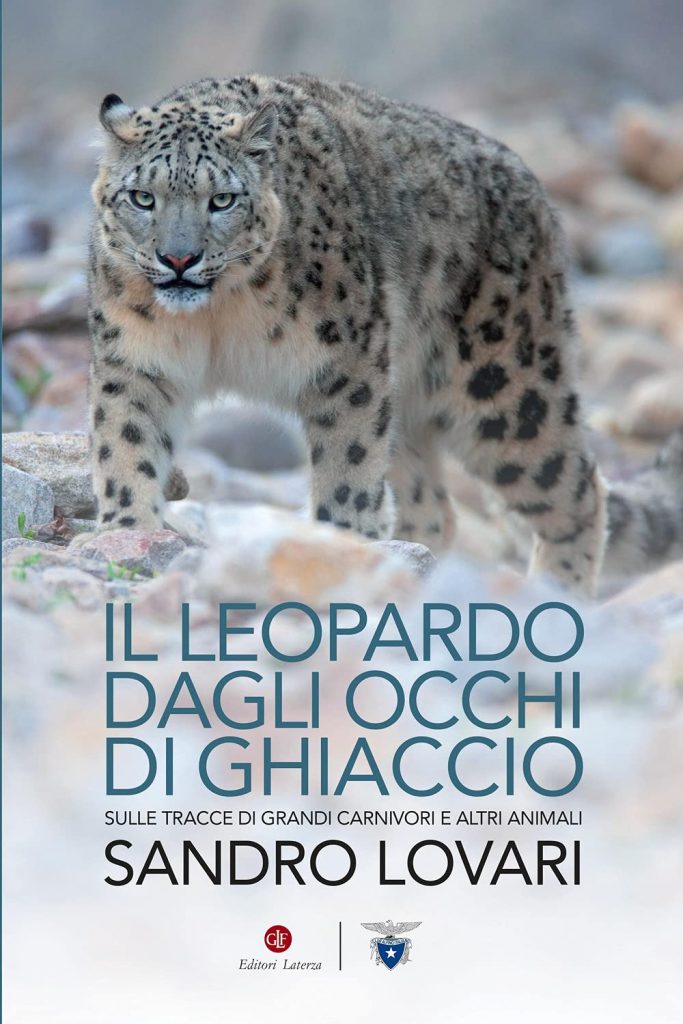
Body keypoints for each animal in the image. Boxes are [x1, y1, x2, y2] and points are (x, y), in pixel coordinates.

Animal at [87, 73, 683, 596]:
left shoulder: (345, 365)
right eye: (142, 198)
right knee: (432, 507)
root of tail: (537, 195)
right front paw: (129, 533)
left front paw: (340, 543)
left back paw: (558, 594)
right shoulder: (133, 364)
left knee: (577, 487)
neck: (214, 320)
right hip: (406, 403)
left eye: (222, 200)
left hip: (506, 387)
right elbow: (127, 443)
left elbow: (347, 468)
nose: (179, 259)